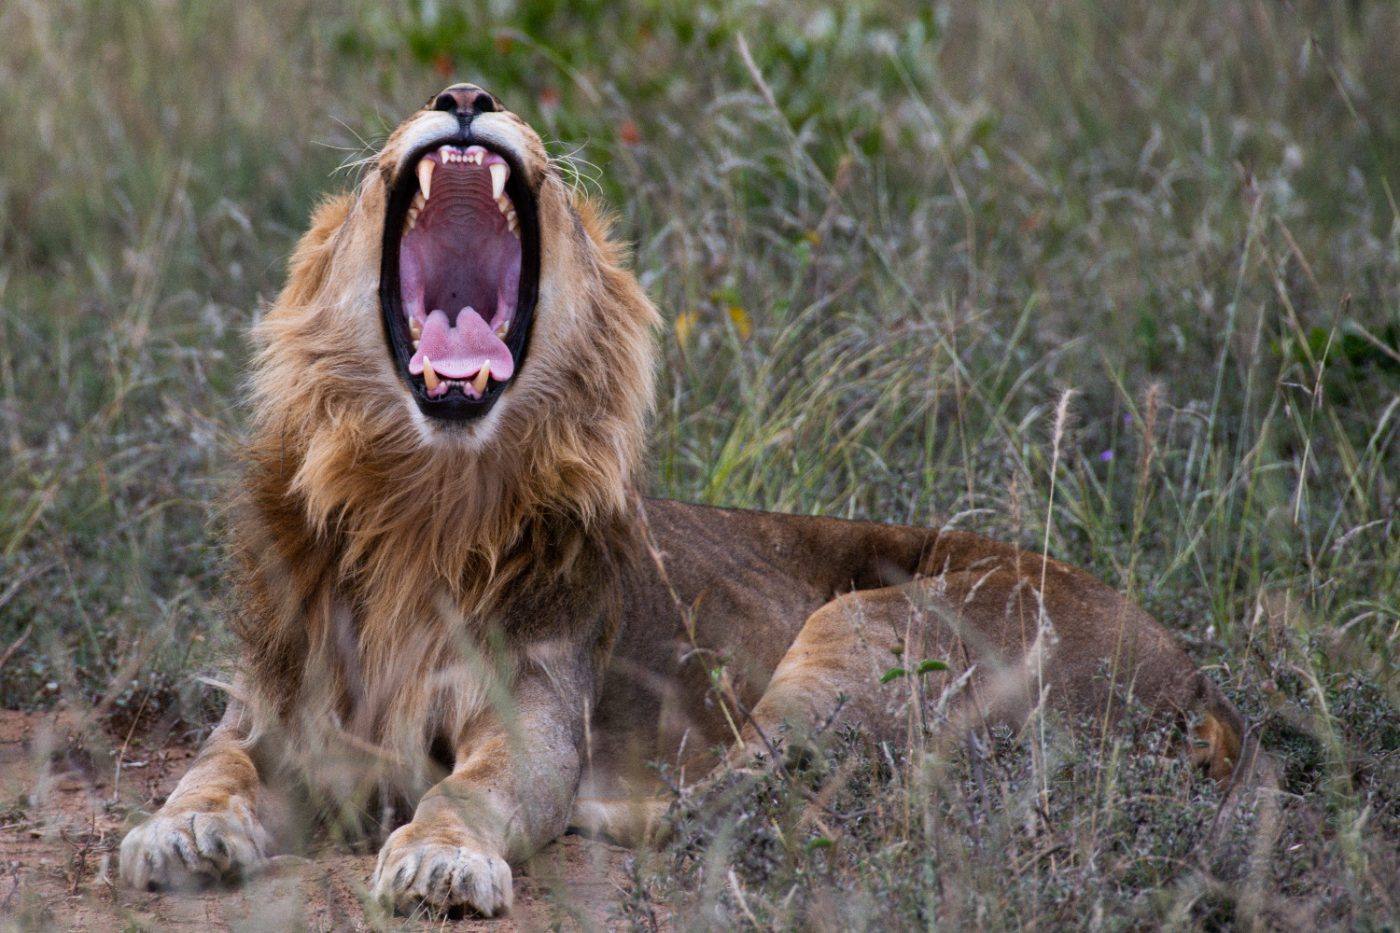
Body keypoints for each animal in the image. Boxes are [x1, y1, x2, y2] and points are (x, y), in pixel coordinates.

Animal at [119, 84, 1249, 916]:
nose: (467, 95)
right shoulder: (272, 715)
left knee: (764, 792)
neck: (421, 501)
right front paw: (176, 833)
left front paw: (440, 858)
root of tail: (1197, 677)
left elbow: (465, 790)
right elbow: (209, 768)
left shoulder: (534, 721)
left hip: (874, 625)